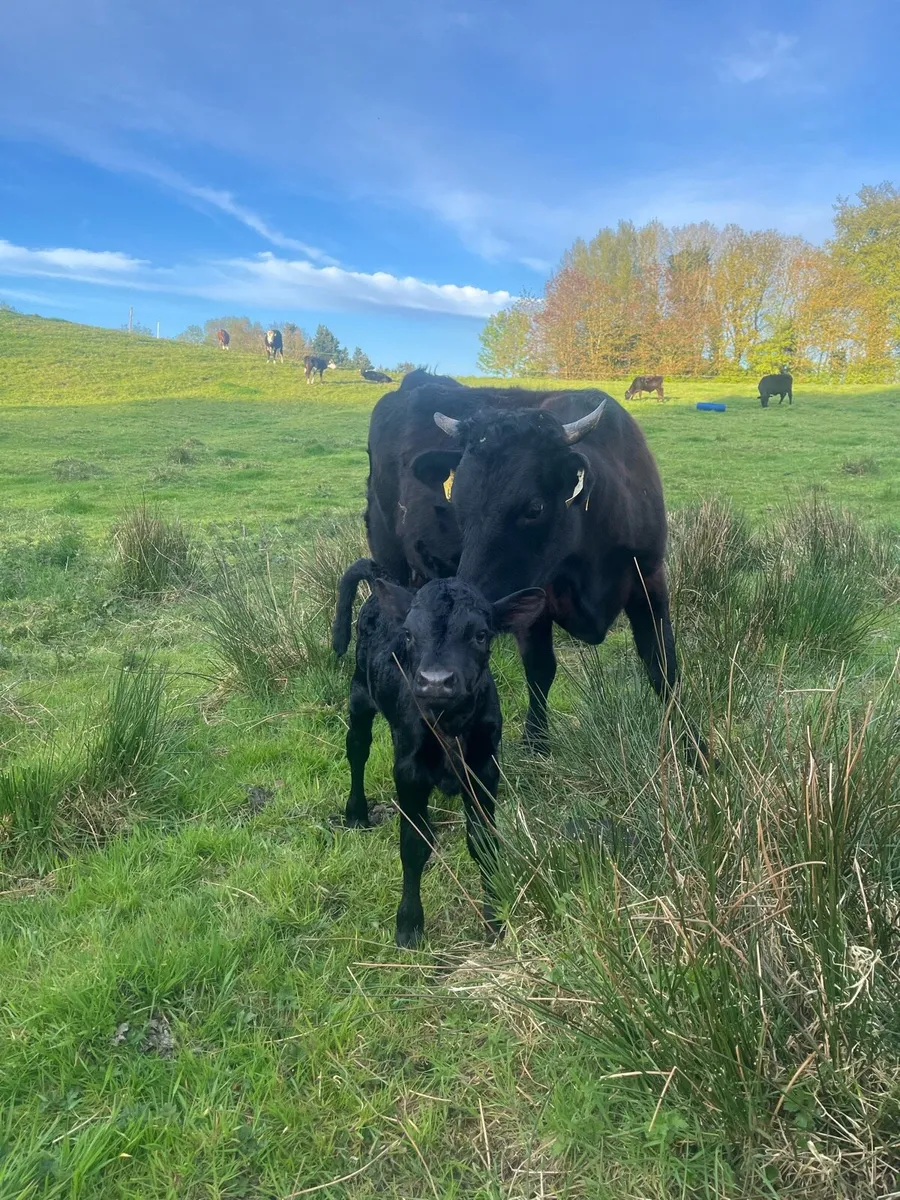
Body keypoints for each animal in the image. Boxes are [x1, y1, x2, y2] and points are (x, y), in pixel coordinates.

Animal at [334, 558, 545, 947]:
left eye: (481, 635)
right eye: (407, 635)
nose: (435, 681)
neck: (449, 724)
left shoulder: (484, 768)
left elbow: (484, 842)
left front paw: (494, 920)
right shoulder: (408, 771)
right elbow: (412, 845)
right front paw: (409, 926)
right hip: (359, 695)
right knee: (357, 748)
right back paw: (356, 813)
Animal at [354, 372, 701, 761]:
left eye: (534, 508)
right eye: (457, 504)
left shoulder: (650, 579)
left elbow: (663, 666)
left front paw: (693, 747)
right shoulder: (534, 601)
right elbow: (540, 668)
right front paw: (535, 741)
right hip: (389, 560)